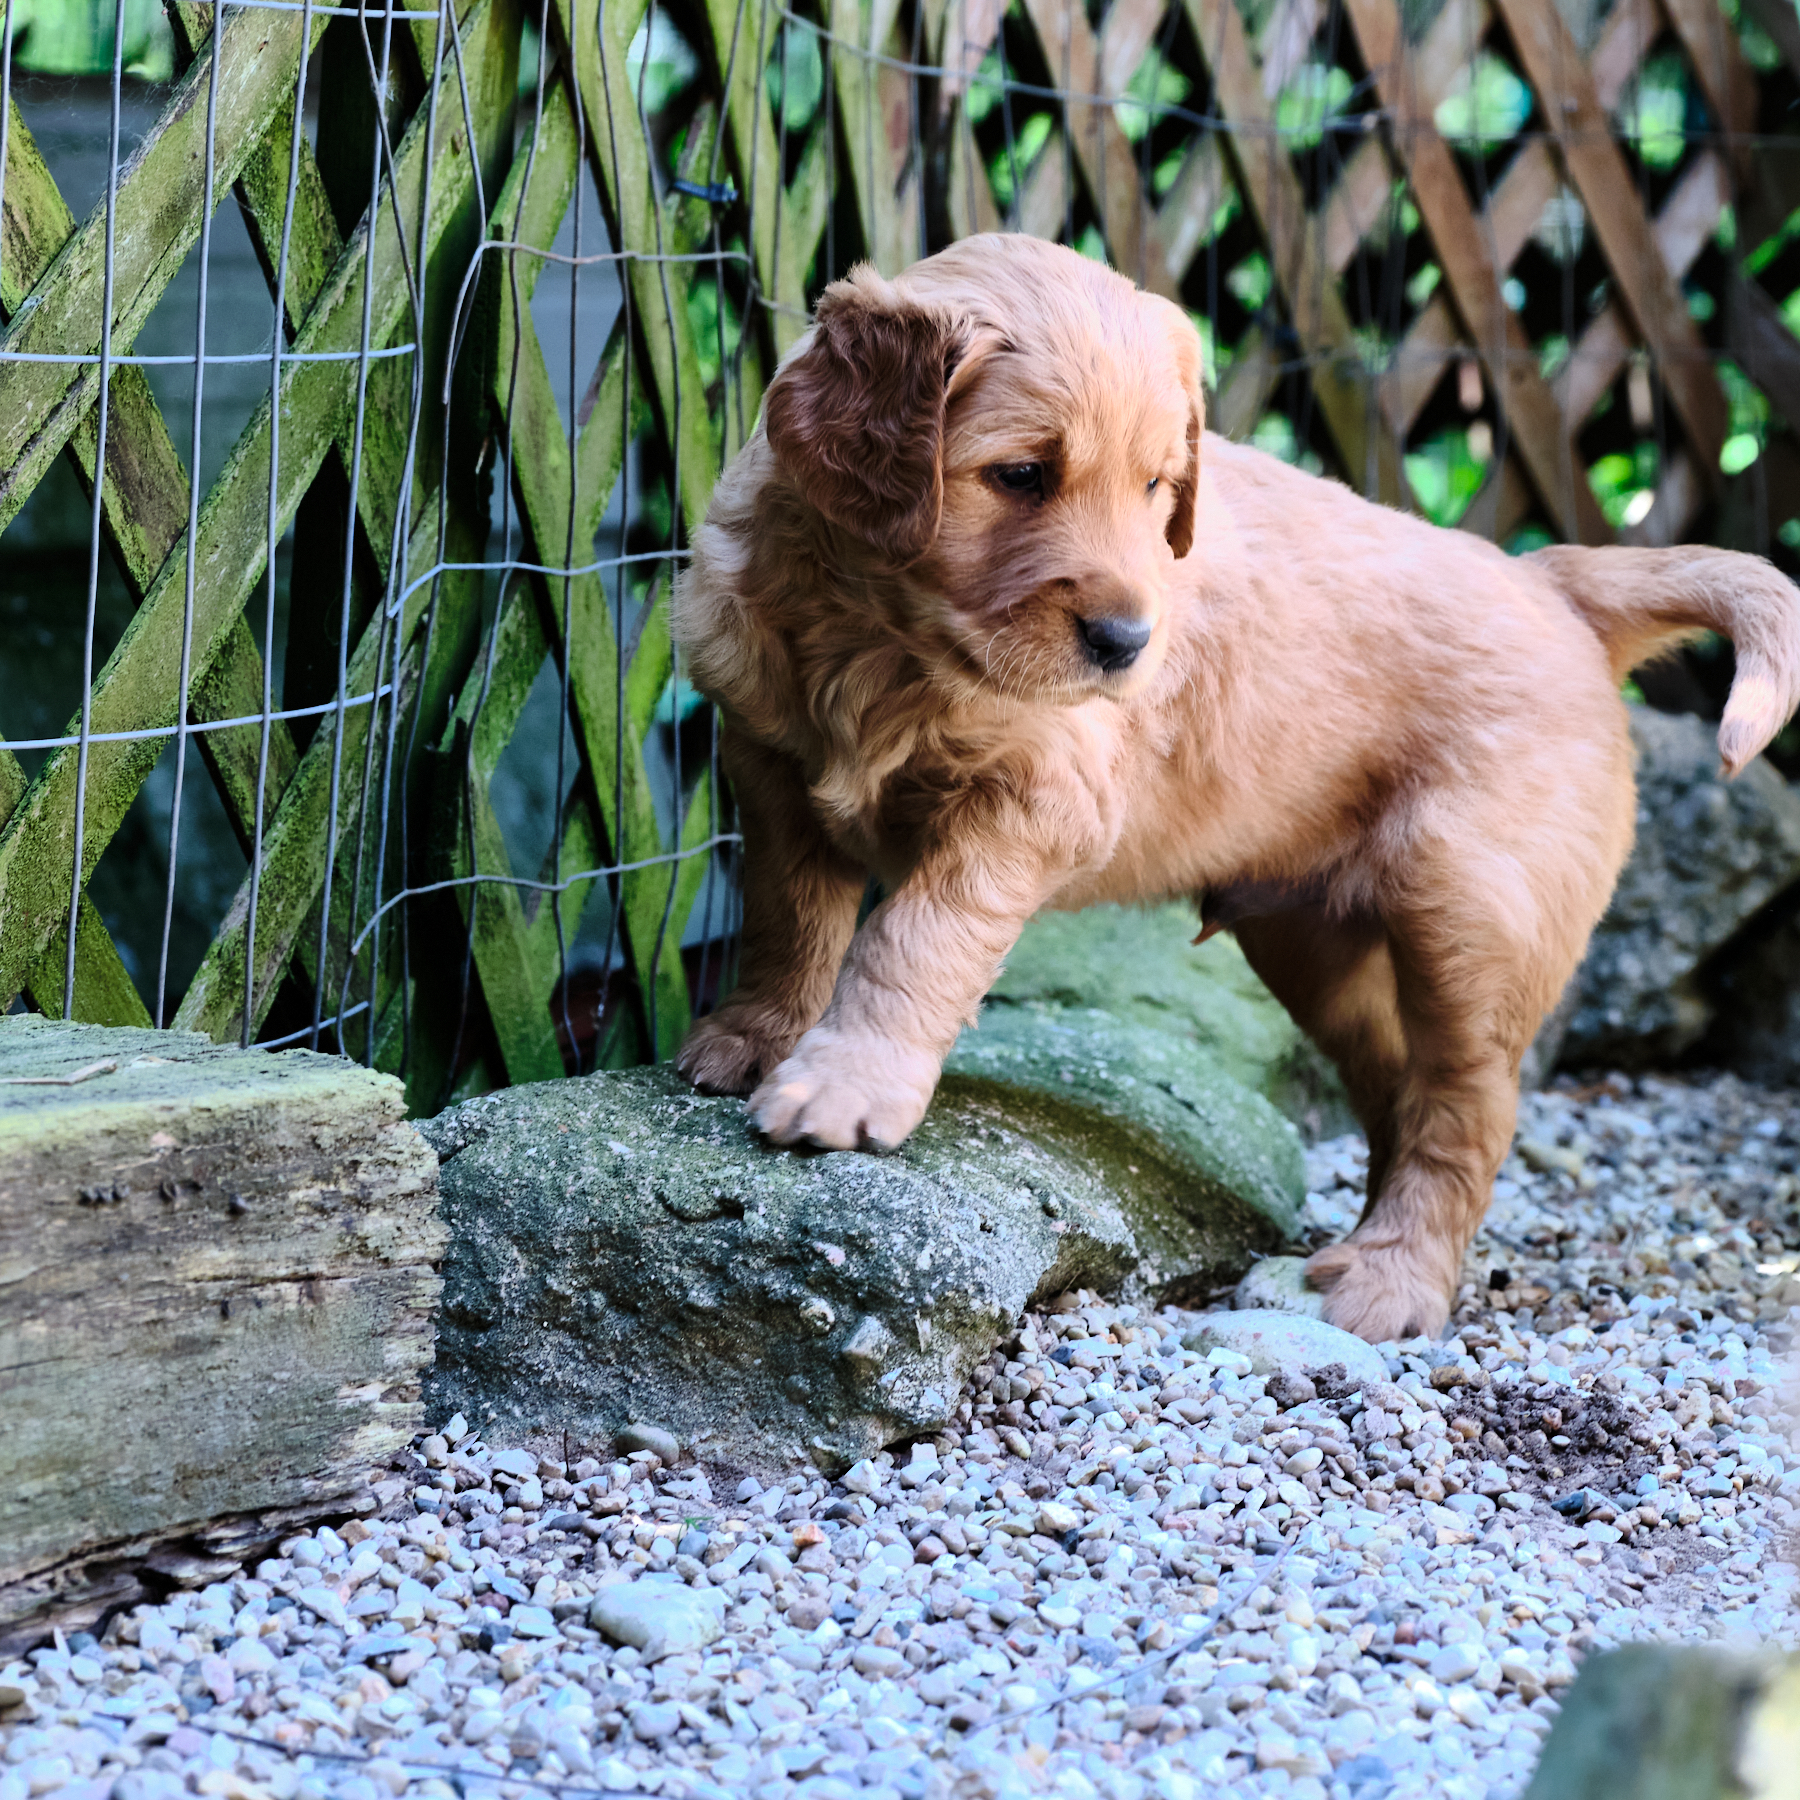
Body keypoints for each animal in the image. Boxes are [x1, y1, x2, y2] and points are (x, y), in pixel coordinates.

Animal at [669, 235, 1800, 1339]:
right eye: (1023, 475)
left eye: (1158, 488)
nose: (1126, 643)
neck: (884, 638)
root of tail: (1551, 580)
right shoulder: (771, 764)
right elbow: (788, 918)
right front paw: (753, 1038)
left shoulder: (1036, 802)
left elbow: (912, 940)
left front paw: (842, 1085)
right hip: (1318, 944)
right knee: (1398, 1089)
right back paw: (1338, 1252)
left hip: (1472, 908)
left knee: (1467, 1106)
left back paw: (1387, 1281)